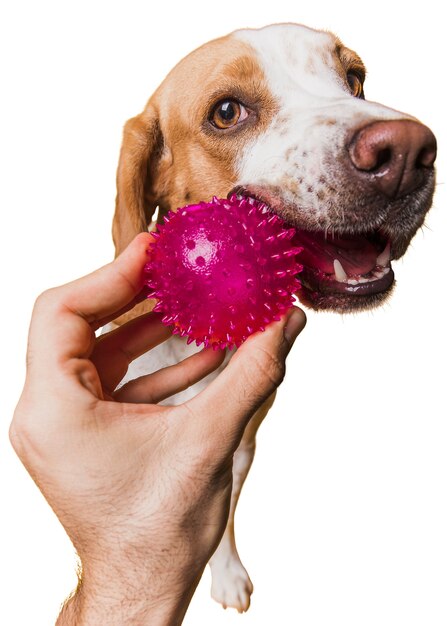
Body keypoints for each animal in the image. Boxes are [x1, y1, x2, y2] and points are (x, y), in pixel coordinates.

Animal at [108, 23, 438, 608]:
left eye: (355, 79)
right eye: (226, 113)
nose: (407, 150)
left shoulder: (236, 446)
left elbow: (222, 519)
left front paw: (225, 572)